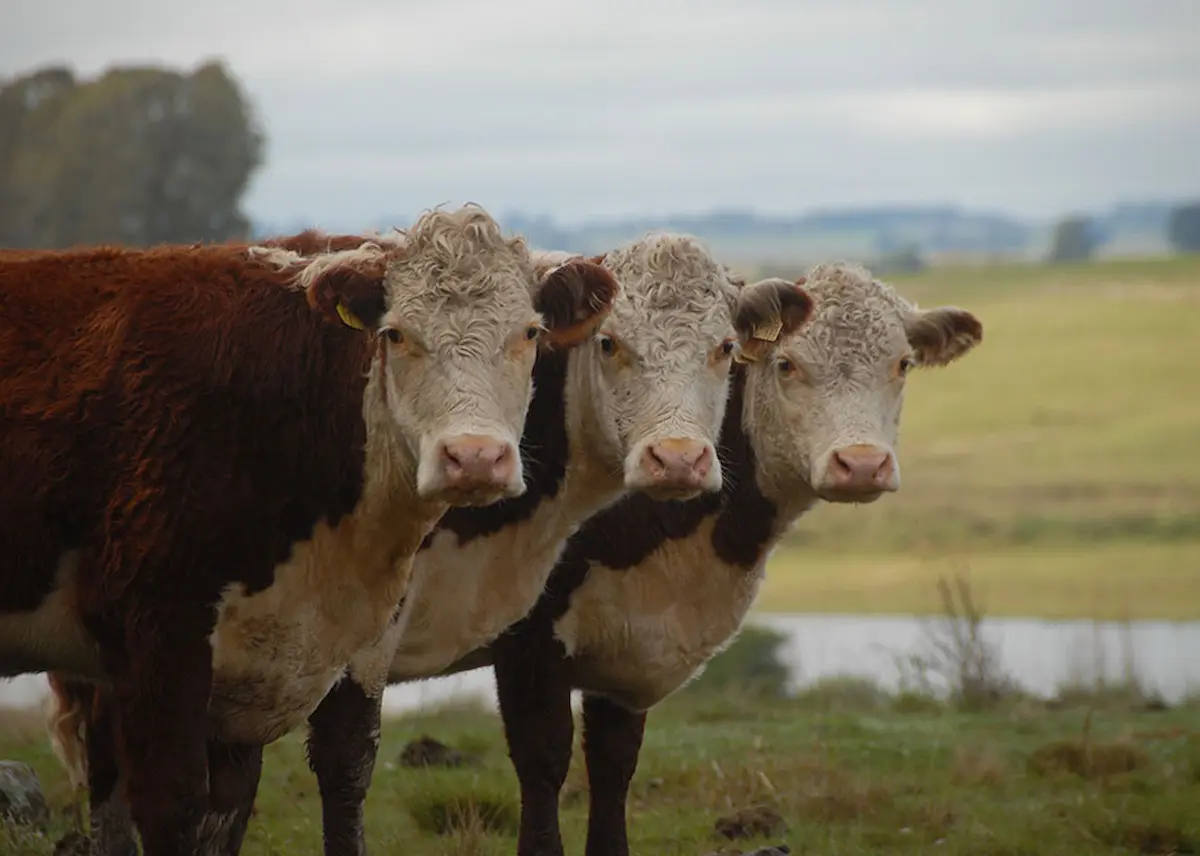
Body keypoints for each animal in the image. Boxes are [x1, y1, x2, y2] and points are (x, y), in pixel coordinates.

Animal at [44, 229, 748, 854]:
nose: (678, 459)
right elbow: (528, 757)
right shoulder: (510, 638)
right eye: (610, 343)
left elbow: (609, 764)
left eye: (726, 348)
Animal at [441, 261, 984, 854]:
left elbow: (612, 767)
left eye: (902, 363)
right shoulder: (530, 642)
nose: (862, 464)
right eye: (787, 364)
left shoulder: (626, 650)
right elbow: (543, 763)